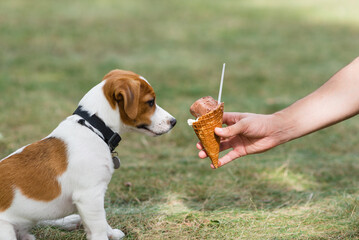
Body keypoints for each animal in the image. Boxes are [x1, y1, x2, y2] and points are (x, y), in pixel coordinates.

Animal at [0, 68, 177, 239]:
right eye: (150, 102)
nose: (174, 121)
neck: (94, 128)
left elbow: (103, 219)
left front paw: (112, 233)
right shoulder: (89, 196)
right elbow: (98, 228)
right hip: (6, 230)